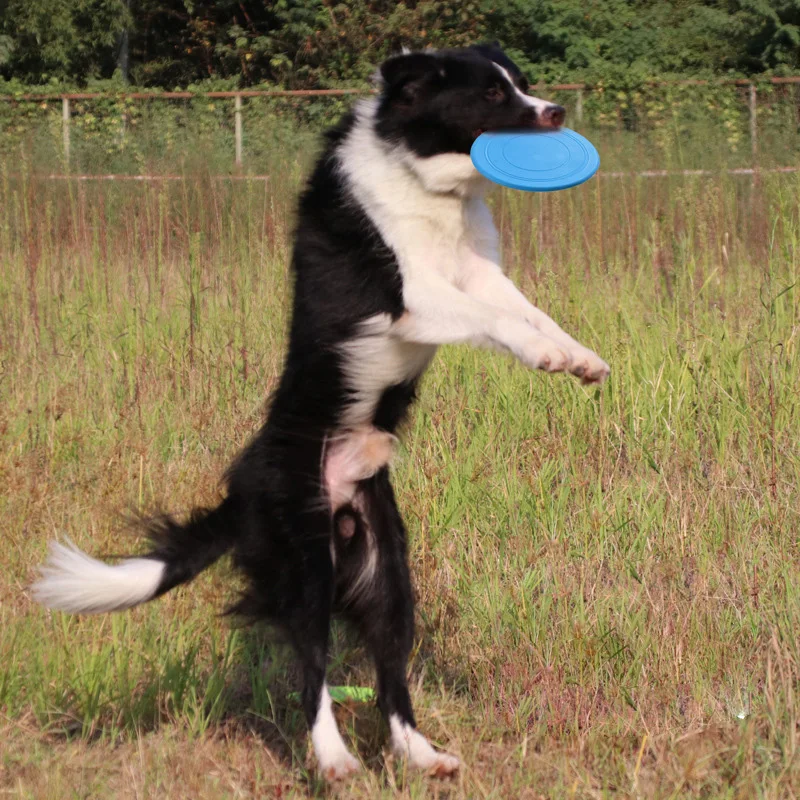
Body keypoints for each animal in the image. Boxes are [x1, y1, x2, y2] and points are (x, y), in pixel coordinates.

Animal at [29, 42, 608, 780]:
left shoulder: (481, 274)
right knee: (313, 671)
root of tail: (241, 492)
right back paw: (334, 761)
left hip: (386, 571)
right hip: (304, 563)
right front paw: (545, 355)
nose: (556, 112)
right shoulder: (414, 295)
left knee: (390, 675)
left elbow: (531, 310)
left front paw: (579, 357)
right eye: (491, 95)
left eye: (522, 86)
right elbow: (502, 321)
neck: (428, 184)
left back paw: (424, 757)